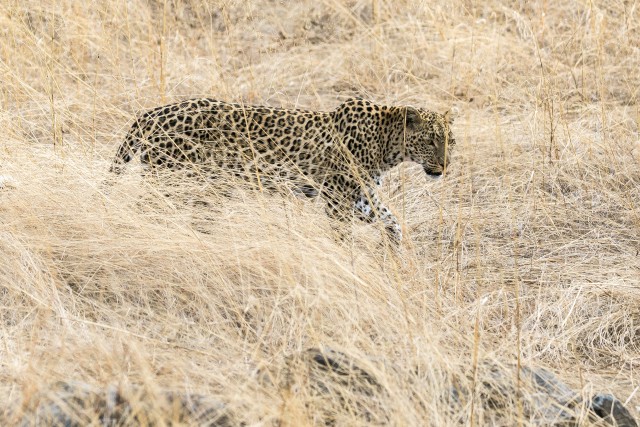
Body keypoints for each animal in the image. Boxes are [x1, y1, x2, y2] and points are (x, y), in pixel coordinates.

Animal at [109, 97, 457, 242]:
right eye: (430, 141)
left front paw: (393, 248)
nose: (445, 165)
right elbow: (343, 233)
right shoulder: (337, 196)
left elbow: (391, 220)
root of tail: (152, 112)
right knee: (144, 209)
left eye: (450, 141)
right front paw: (345, 258)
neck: (387, 144)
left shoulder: (360, 195)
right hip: (173, 180)